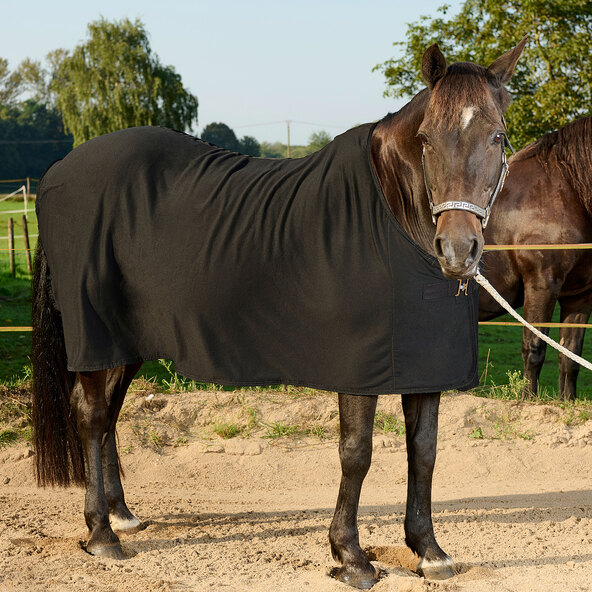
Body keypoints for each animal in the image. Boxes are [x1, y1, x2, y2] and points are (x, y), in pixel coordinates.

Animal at [30, 39, 524, 588]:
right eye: (426, 139)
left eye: (498, 136)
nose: (458, 250)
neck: (392, 216)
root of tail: (57, 172)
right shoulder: (359, 371)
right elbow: (357, 453)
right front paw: (350, 556)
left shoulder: (425, 367)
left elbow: (425, 452)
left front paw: (428, 550)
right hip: (96, 336)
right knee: (91, 414)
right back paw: (101, 534)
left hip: (127, 341)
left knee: (110, 414)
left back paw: (122, 515)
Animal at [478, 115, 592, 400]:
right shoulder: (541, 284)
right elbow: (535, 347)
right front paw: (528, 400)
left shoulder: (579, 296)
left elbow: (570, 355)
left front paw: (567, 401)